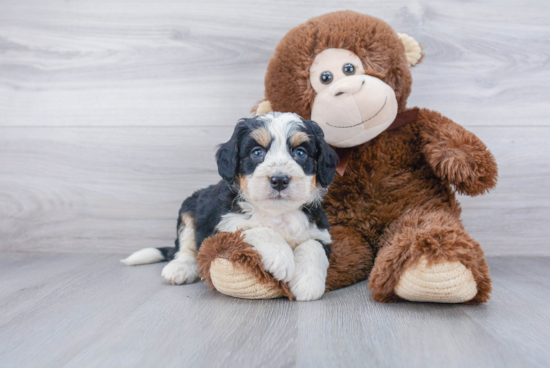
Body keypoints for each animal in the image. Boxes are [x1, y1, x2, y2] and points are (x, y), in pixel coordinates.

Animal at [124, 113, 340, 302]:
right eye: (257, 152)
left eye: (300, 153)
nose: (279, 180)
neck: (276, 212)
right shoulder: (221, 228)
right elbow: (257, 229)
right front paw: (282, 258)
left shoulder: (320, 229)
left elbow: (313, 245)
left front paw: (308, 283)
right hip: (189, 207)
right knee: (185, 246)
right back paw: (180, 268)